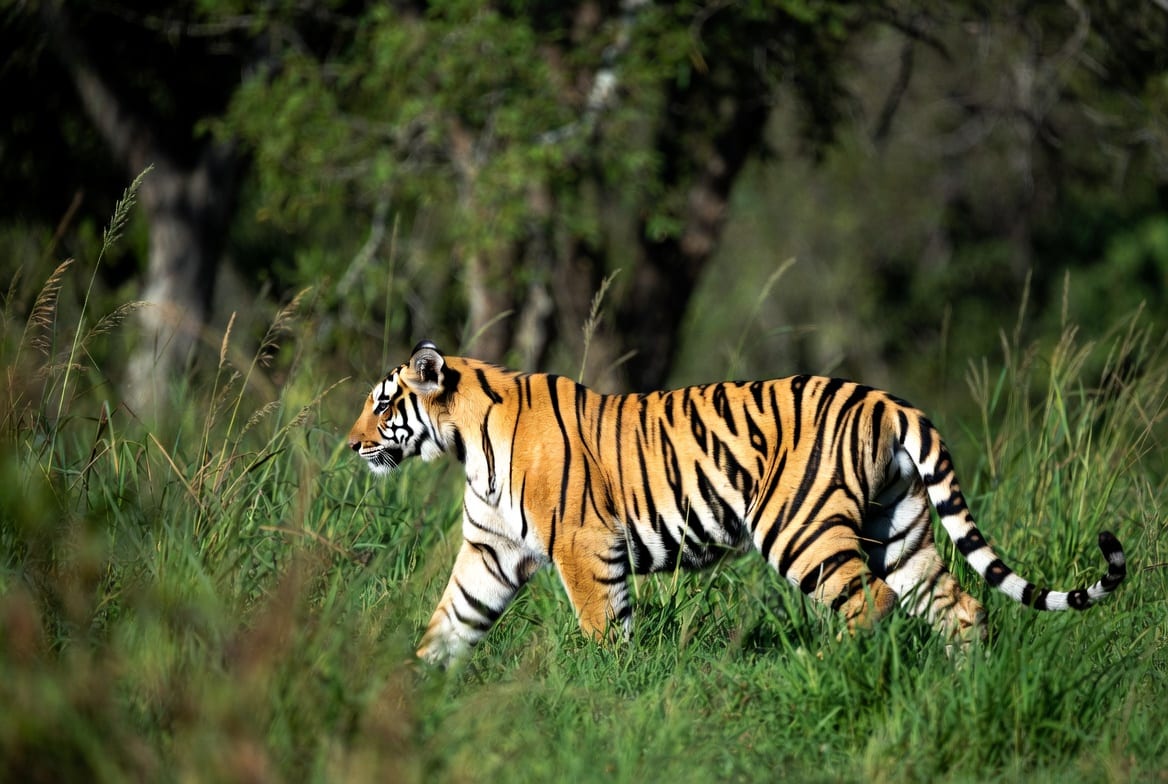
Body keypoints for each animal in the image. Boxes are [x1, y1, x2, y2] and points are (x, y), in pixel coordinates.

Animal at [348, 341, 1127, 666]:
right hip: (899, 527)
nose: (351, 445)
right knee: (958, 606)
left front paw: (609, 688)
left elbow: (603, 627)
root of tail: (888, 400)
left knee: (869, 604)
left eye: (383, 403)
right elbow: (451, 621)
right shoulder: (491, 551)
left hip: (800, 527)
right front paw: (414, 688)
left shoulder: (583, 542)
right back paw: (968, 686)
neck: (463, 443)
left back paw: (822, 667)